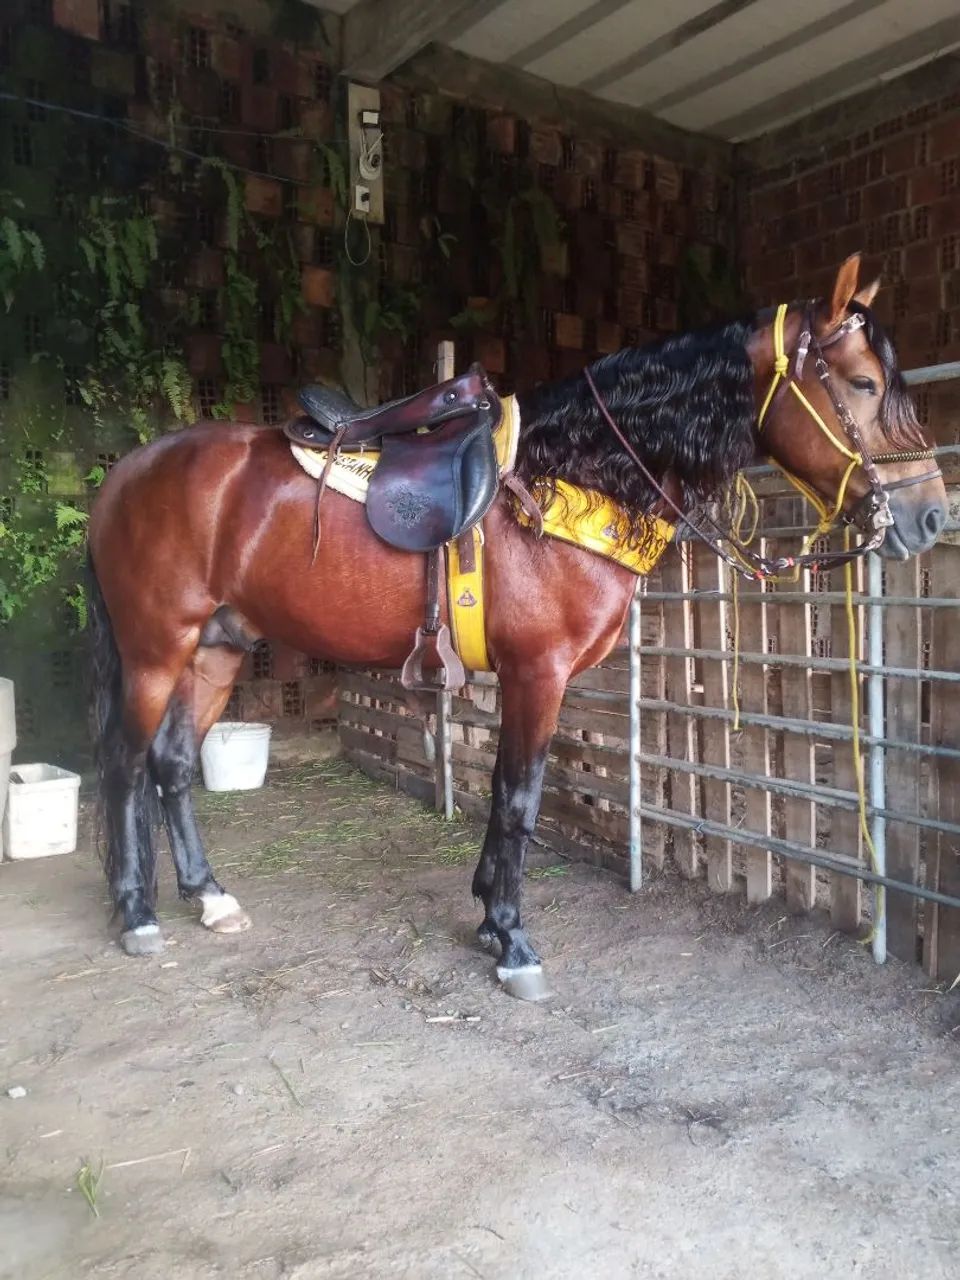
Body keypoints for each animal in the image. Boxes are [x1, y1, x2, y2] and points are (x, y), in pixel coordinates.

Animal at [87, 254, 946, 999]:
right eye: (863, 383)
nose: (931, 515)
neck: (571, 474)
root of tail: (123, 476)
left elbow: (504, 792)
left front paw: (488, 918)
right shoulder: (540, 672)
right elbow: (522, 798)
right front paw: (512, 941)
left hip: (218, 646)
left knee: (172, 763)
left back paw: (208, 895)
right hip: (156, 648)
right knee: (125, 763)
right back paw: (136, 913)